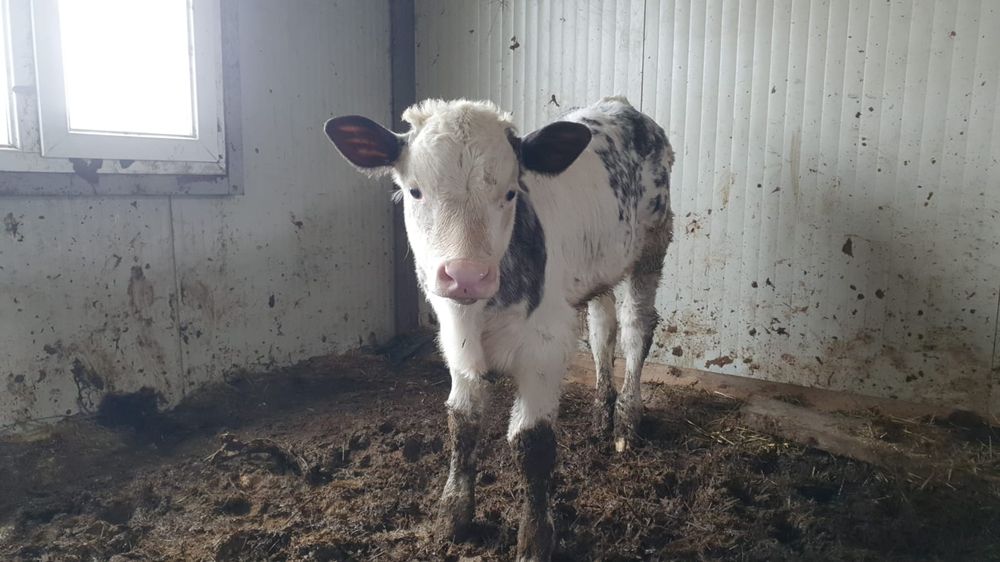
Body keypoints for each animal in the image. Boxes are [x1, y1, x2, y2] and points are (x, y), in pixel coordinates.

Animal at [324, 96, 673, 561]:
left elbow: (532, 443)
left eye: (510, 193)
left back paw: (626, 423)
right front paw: (452, 517)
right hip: (598, 267)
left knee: (636, 330)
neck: (479, 313)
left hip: (652, 244)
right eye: (415, 190)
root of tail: (619, 104)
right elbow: (461, 423)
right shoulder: (456, 345)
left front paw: (535, 540)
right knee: (603, 327)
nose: (466, 276)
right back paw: (602, 413)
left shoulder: (544, 348)